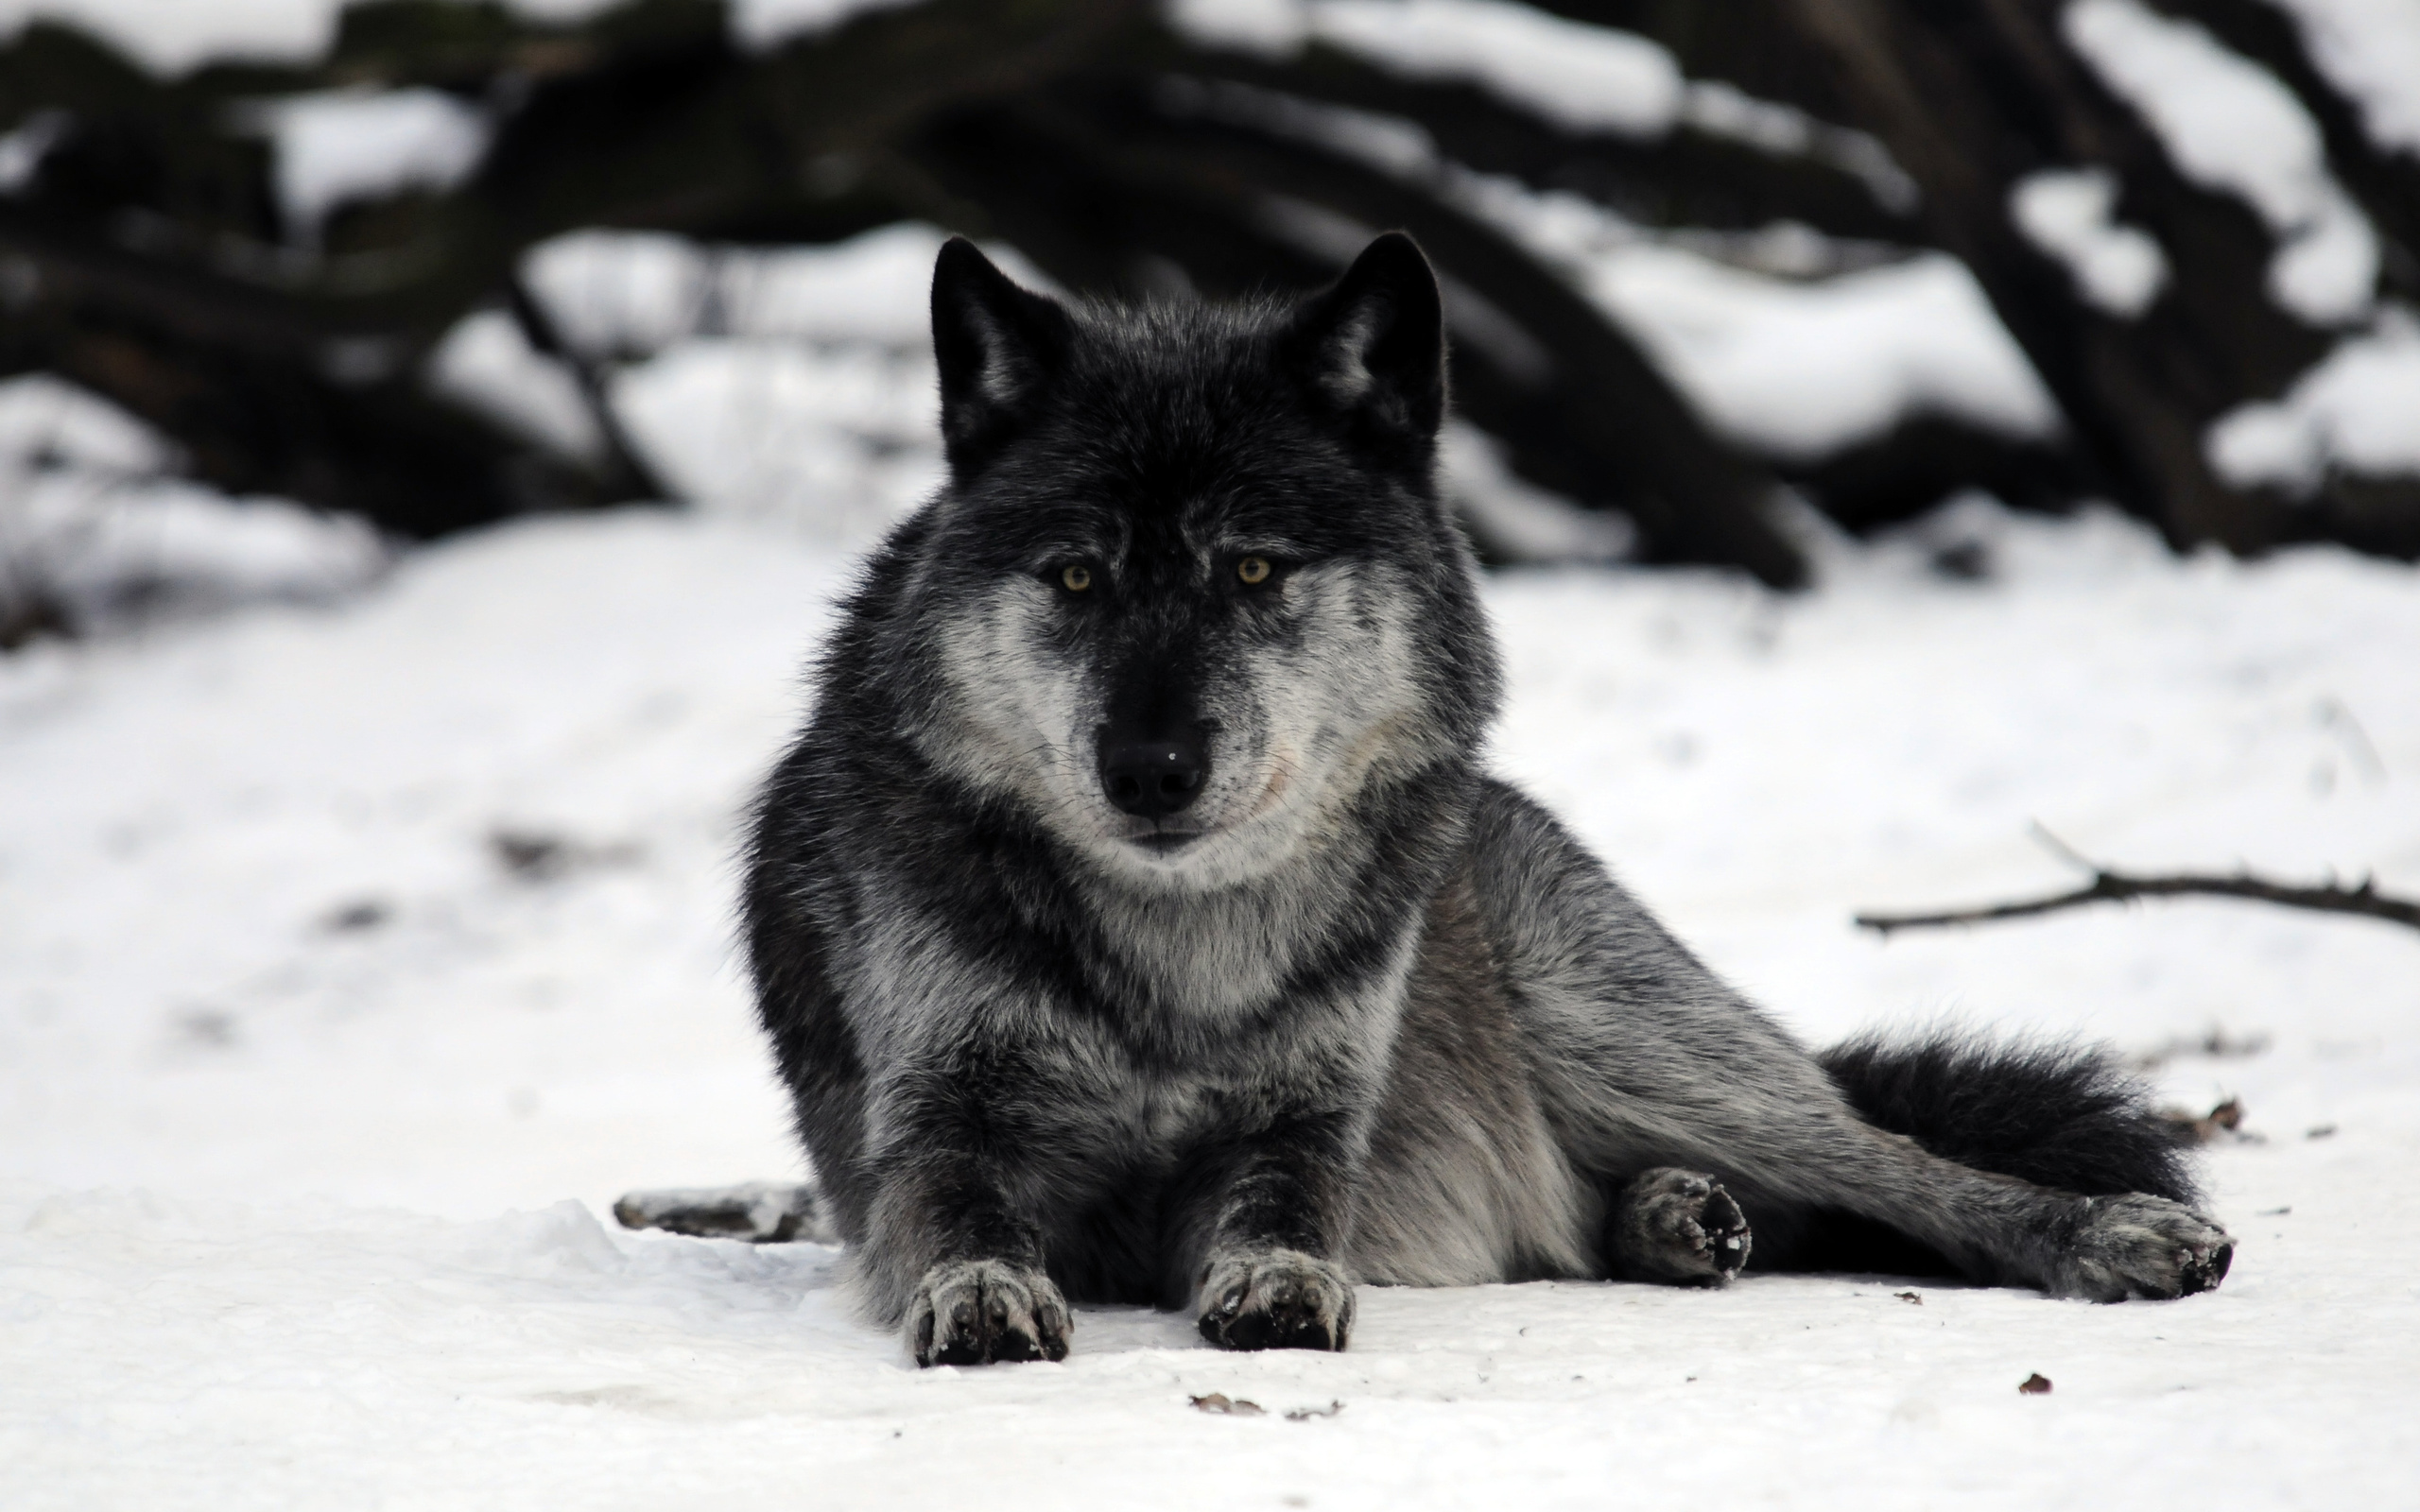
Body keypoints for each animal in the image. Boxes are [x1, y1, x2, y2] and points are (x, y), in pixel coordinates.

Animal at [731, 230, 2226, 1364]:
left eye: (1254, 570)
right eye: (1078, 576)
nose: (1149, 770)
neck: (1183, 957)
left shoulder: (1305, 1123)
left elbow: (1284, 1208)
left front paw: (1280, 1282)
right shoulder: (935, 1126)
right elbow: (963, 1216)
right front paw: (982, 1291)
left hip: (1627, 1033)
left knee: (1893, 1163)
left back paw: (2110, 1231)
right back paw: (1679, 1221)